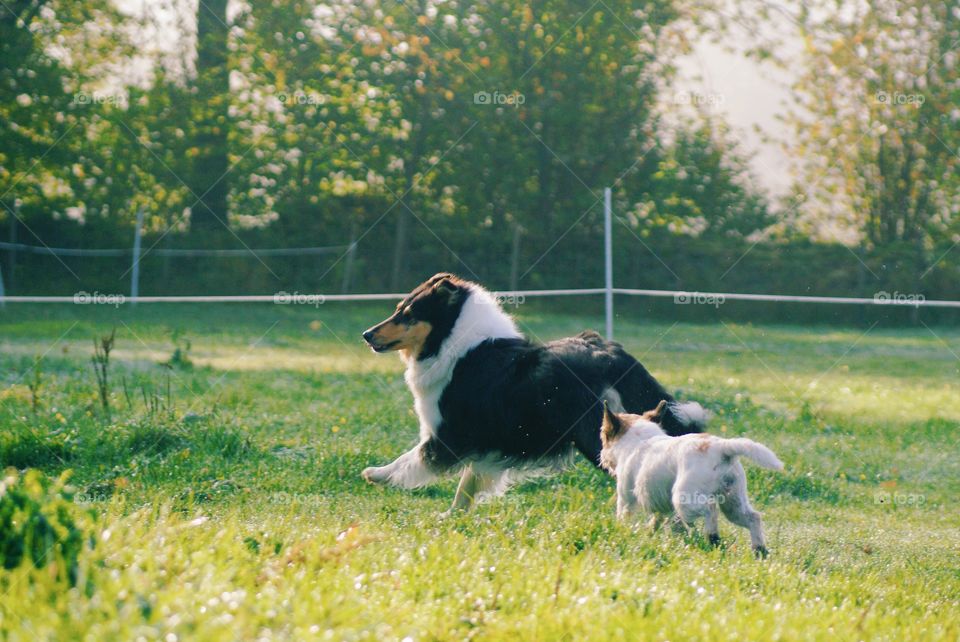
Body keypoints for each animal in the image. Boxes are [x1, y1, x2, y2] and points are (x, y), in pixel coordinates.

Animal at [360, 272, 704, 510]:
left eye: (408, 315)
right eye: (398, 309)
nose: (366, 334)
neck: (455, 343)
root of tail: (612, 357)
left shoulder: (449, 434)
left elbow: (411, 459)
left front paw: (375, 474)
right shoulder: (486, 441)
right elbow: (467, 484)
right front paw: (451, 517)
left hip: (597, 435)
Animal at [604, 398, 784, 552]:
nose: (602, 458)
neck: (640, 439)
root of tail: (722, 447)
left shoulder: (626, 499)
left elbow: (624, 518)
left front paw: (623, 534)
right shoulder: (662, 507)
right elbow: (659, 521)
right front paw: (650, 533)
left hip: (684, 501)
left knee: (710, 510)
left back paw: (713, 537)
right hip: (733, 504)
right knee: (753, 518)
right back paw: (759, 550)